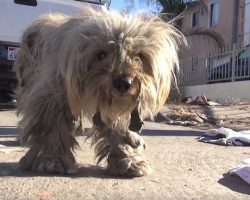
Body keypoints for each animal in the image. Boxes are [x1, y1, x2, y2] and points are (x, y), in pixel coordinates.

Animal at [14, 6, 186, 177]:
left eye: (139, 56)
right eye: (101, 54)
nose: (124, 83)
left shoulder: (116, 105)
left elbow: (119, 130)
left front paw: (127, 159)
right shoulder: (52, 97)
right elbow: (53, 128)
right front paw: (54, 159)